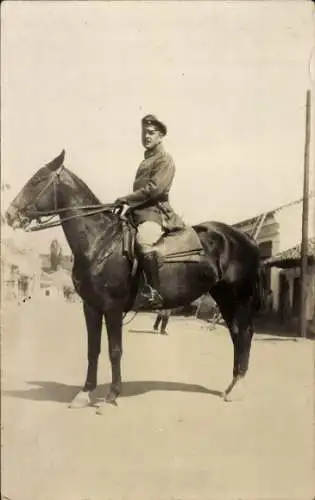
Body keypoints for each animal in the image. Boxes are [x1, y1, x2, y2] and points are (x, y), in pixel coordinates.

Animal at [6, 150, 262, 408]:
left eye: (37, 180)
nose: (8, 215)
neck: (100, 242)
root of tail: (244, 237)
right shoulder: (91, 307)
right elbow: (93, 350)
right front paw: (85, 392)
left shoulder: (112, 308)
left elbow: (115, 350)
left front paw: (112, 395)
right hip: (224, 297)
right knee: (236, 333)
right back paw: (232, 384)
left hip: (239, 298)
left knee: (244, 333)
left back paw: (237, 387)